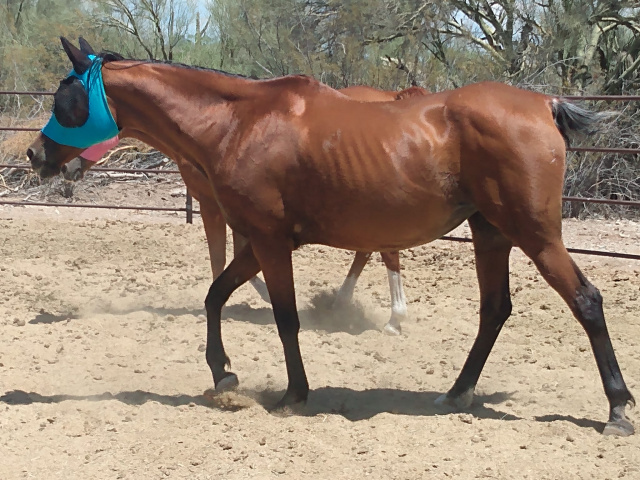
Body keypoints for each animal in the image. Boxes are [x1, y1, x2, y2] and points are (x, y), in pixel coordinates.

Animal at [27, 37, 632, 436]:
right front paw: (224, 375)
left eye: (64, 99)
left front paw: (294, 393)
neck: (236, 122)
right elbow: (215, 295)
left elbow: (284, 318)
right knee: (495, 310)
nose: (34, 155)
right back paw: (456, 393)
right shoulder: (262, 240)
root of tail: (542, 104)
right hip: (491, 234)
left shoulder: (269, 242)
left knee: (586, 301)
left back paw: (618, 410)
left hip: (534, 234)